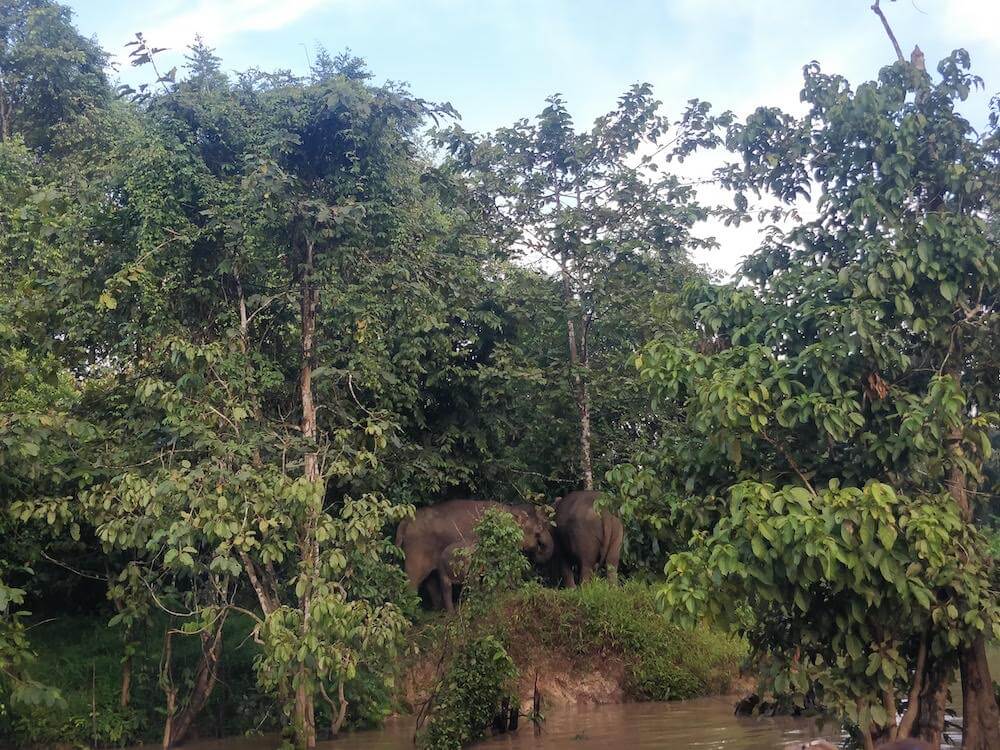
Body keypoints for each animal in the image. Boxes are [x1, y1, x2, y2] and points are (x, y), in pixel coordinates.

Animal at [396, 500, 556, 612]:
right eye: (538, 530)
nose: (538, 548)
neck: (510, 510)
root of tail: (405, 521)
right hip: (416, 550)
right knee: (413, 581)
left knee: (430, 580)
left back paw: (437, 610)